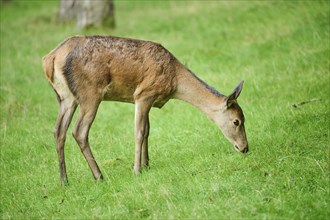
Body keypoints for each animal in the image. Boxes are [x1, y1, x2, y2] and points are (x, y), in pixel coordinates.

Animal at [42, 35, 248, 185]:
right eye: (236, 121)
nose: (245, 148)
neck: (175, 82)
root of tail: (49, 59)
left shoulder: (148, 100)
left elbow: (148, 130)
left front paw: (147, 164)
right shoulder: (143, 94)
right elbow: (139, 132)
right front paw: (136, 170)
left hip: (66, 98)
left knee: (58, 130)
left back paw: (64, 180)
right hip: (90, 94)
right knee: (79, 131)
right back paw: (99, 176)